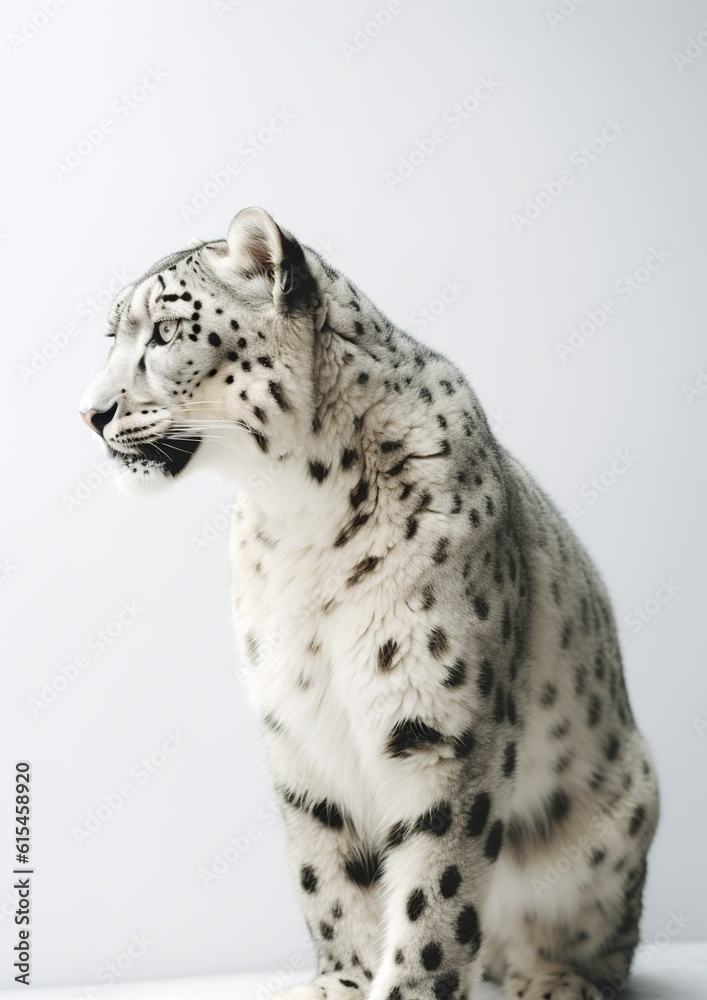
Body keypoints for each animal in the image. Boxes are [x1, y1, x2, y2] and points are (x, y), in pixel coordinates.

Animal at [79, 207, 660, 1000]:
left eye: (165, 331)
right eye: (114, 334)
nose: (89, 413)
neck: (297, 522)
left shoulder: (441, 723)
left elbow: (437, 894)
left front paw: (408, 987)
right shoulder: (299, 727)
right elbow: (329, 875)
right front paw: (341, 982)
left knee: (596, 943)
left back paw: (554, 979)